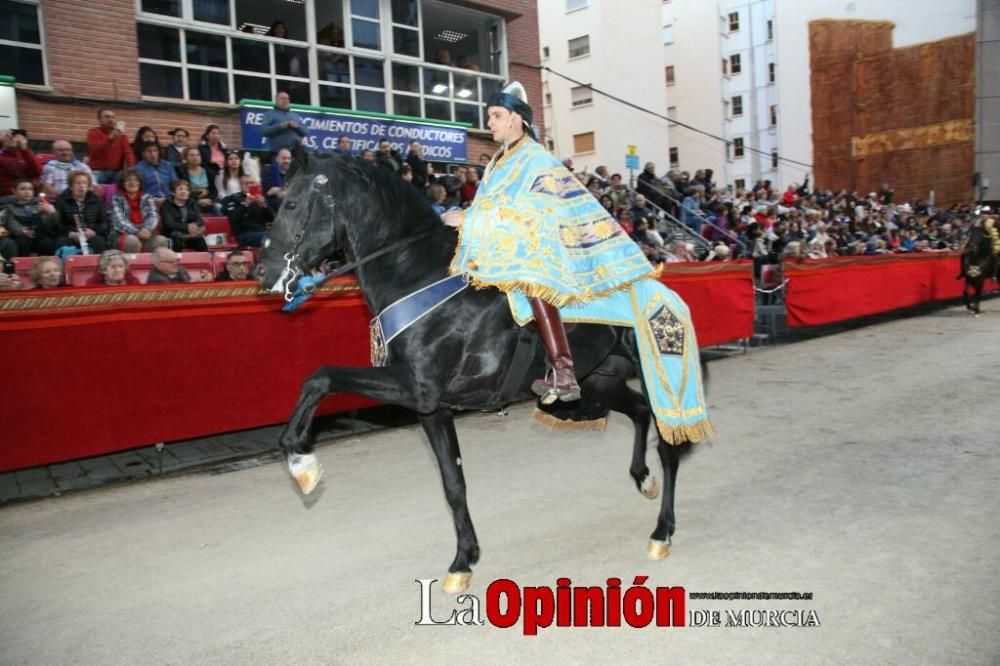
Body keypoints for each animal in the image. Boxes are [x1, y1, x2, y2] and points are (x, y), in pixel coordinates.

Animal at [250, 154, 704, 592]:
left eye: (292, 205)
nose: (262, 273)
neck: (417, 276)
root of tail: (656, 283)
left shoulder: (416, 385)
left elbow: (322, 376)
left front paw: (302, 462)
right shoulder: (430, 408)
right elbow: (453, 484)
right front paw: (462, 561)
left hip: (654, 372)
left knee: (667, 444)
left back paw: (662, 533)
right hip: (599, 380)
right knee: (640, 412)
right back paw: (643, 480)